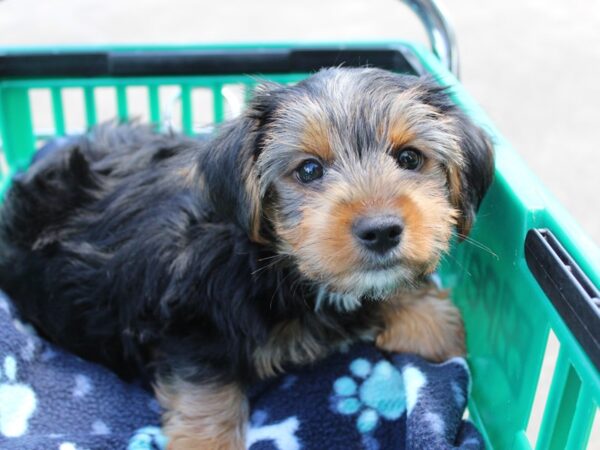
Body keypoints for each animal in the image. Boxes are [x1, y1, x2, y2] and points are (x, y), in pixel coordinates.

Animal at [0, 67, 492, 450]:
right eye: (308, 170)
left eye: (410, 158)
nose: (382, 231)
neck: (277, 264)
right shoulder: (189, 327)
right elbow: (207, 392)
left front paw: (439, 331)